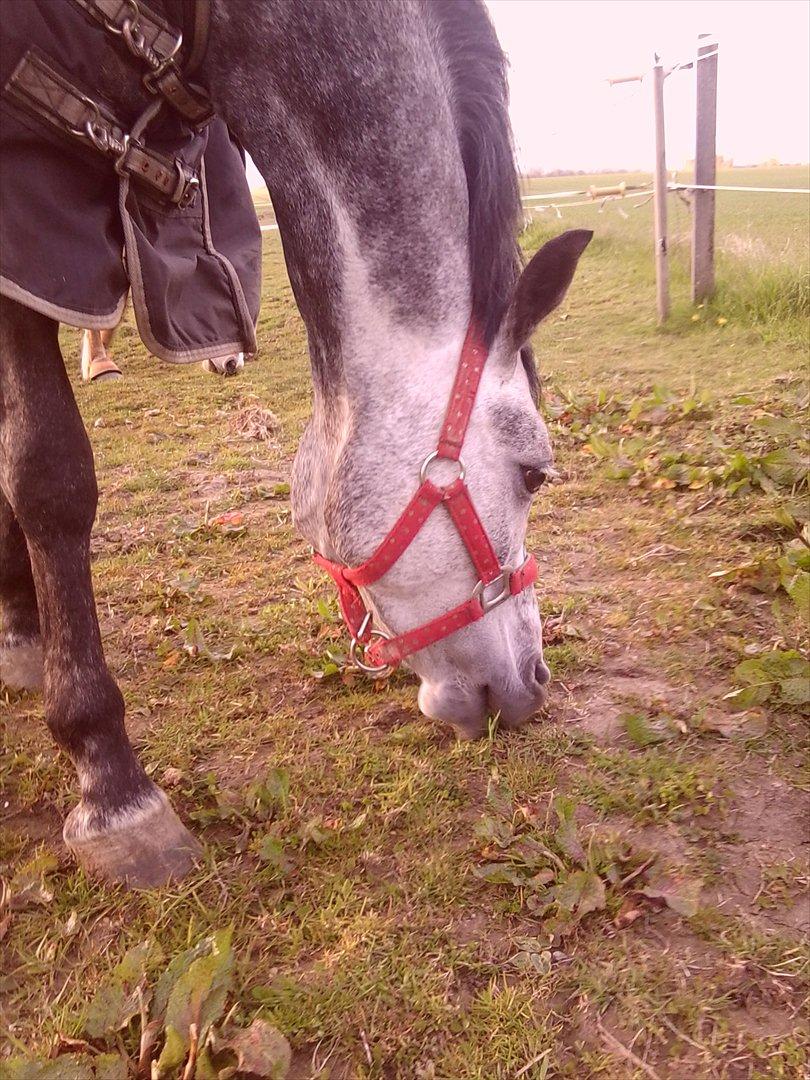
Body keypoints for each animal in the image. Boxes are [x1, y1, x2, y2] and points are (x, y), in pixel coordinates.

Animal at [0, 0, 591, 887]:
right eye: (534, 475)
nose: (534, 684)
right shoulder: (29, 232)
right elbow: (48, 473)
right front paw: (110, 779)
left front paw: (24, 635)